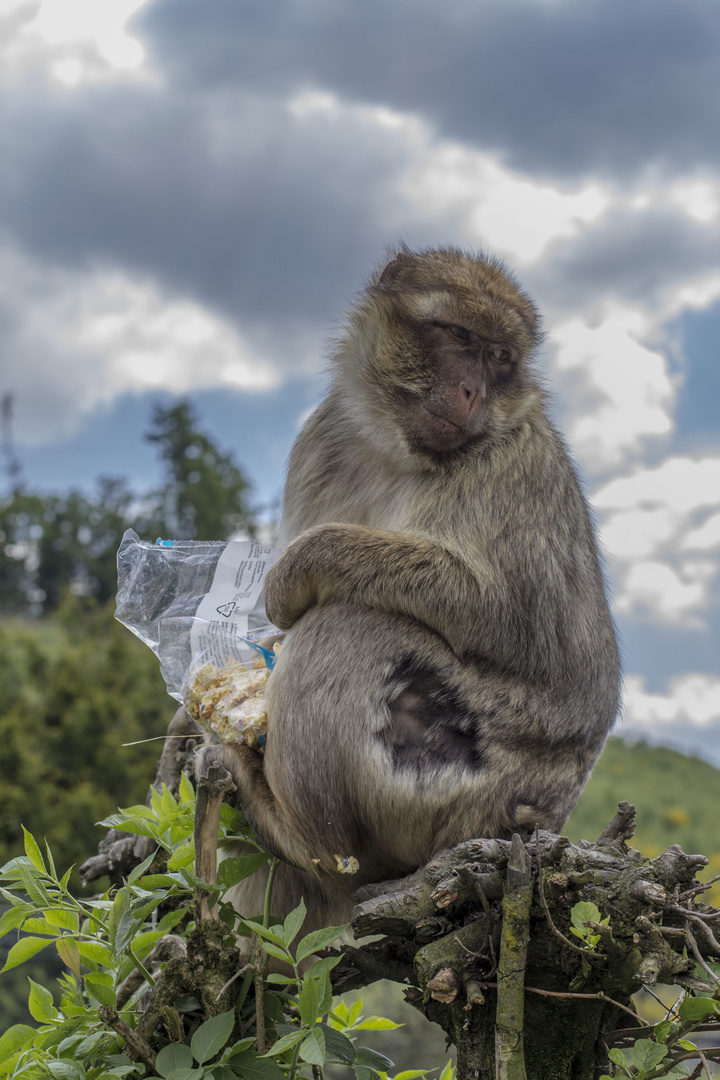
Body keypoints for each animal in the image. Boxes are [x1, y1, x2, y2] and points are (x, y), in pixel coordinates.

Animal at [195, 247, 621, 937]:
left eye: (500, 357)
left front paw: (295, 571)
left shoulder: (508, 461)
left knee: (351, 625)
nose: (473, 390)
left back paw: (301, 833)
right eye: (460, 338)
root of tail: (543, 821)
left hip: (472, 787)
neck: (398, 448)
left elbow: (510, 620)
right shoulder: (323, 437)